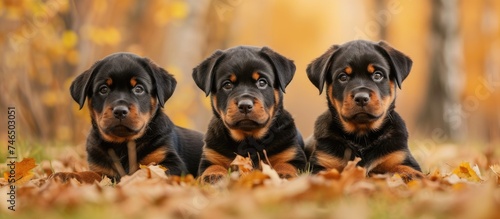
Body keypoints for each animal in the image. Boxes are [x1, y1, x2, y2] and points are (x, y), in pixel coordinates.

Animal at [68, 52, 203, 181]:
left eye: (138, 89)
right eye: (103, 89)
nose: (120, 111)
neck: (122, 145)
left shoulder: (171, 163)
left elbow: (145, 171)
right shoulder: (100, 169)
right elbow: (89, 174)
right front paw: (69, 175)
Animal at [193, 45, 306, 182]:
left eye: (262, 82)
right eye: (227, 84)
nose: (245, 105)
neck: (248, 139)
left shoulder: (292, 155)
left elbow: (286, 165)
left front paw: (284, 174)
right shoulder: (211, 157)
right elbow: (213, 166)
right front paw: (213, 175)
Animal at [304, 40, 422, 181]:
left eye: (377, 75)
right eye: (343, 77)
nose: (361, 98)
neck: (362, 137)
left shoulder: (401, 158)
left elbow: (412, 172)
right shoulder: (322, 164)